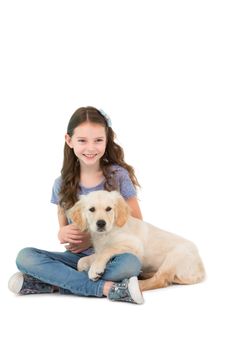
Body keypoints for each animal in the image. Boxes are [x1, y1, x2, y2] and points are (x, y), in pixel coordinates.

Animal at [68, 190, 206, 292]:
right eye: (92, 209)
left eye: (109, 209)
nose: (101, 223)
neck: (107, 233)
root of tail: (201, 269)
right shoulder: (98, 250)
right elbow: (82, 260)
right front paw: (85, 266)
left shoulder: (134, 245)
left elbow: (108, 250)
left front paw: (95, 269)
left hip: (175, 256)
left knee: (160, 280)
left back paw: (133, 285)